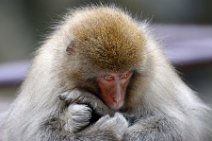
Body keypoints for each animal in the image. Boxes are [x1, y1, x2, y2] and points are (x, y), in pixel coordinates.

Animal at [2, 5, 210, 141]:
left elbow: (177, 126)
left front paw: (99, 108)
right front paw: (102, 129)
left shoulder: (155, 72)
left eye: (125, 75)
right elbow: (37, 133)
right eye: (108, 77)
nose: (117, 99)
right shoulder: (48, 78)